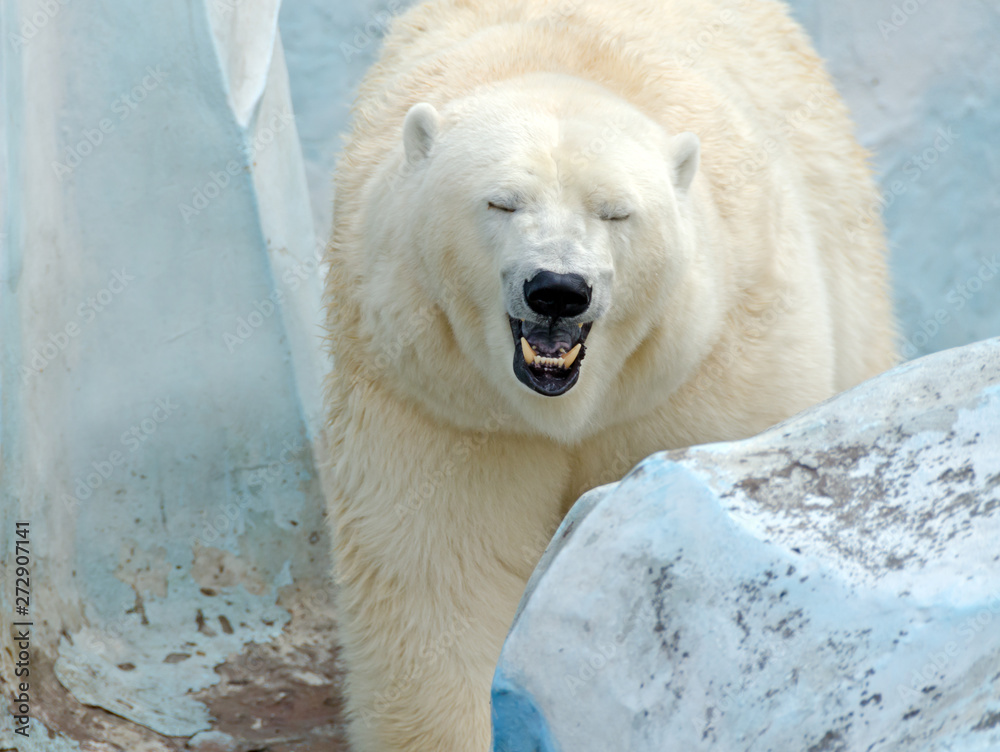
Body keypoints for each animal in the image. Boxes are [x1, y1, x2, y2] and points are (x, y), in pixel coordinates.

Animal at [326, 2, 900, 748]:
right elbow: (444, 578)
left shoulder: (702, 372)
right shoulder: (438, 402)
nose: (557, 290)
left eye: (616, 211)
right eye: (501, 202)